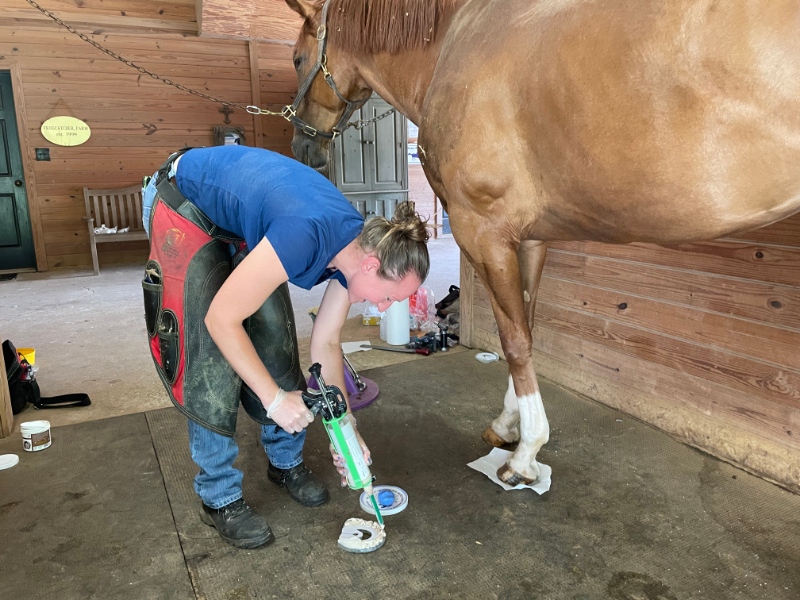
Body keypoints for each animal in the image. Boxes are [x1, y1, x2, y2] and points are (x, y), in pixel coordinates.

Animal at [282, 0, 800, 488]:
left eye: (297, 58)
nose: (303, 148)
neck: (453, 44)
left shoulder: (483, 232)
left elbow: (513, 339)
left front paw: (525, 454)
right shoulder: (529, 238)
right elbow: (527, 329)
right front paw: (508, 425)